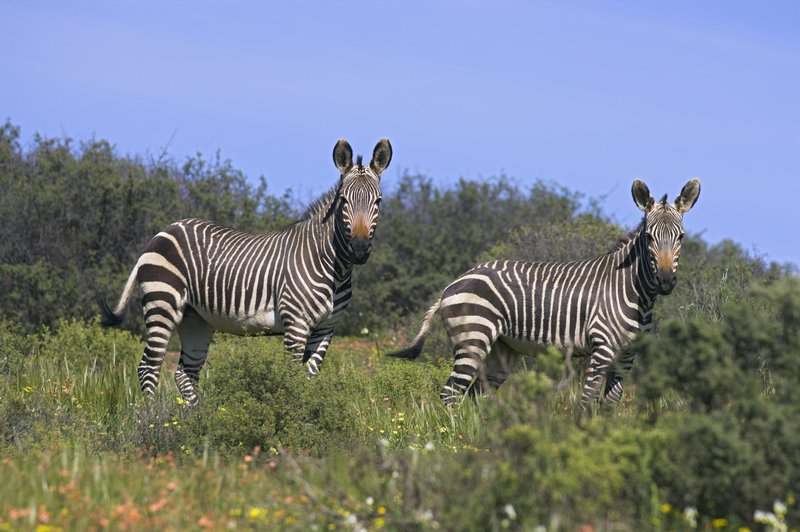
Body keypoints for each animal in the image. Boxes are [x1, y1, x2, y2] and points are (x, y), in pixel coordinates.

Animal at [100, 137, 394, 404]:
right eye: (343, 201)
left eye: (378, 202)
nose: (359, 249)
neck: (334, 268)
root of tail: (163, 232)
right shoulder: (296, 324)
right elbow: (292, 381)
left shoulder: (326, 329)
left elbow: (308, 380)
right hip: (163, 303)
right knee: (148, 368)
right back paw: (152, 420)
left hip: (195, 319)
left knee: (184, 374)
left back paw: (196, 421)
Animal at [388, 177, 700, 406]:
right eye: (649, 237)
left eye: (681, 237)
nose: (665, 281)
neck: (637, 294)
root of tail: (453, 284)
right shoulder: (602, 350)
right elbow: (587, 401)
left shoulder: (627, 355)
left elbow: (611, 404)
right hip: (472, 338)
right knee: (450, 394)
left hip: (501, 350)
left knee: (475, 396)